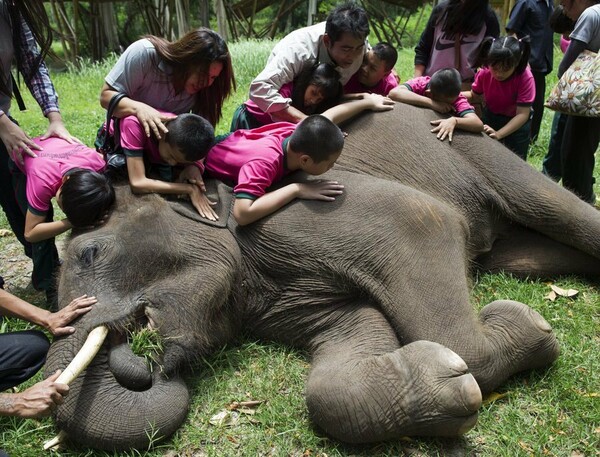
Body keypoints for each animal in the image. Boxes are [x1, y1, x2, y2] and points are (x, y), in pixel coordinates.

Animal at [43, 103, 600, 448]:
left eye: (89, 253)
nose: (141, 360)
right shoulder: (277, 297)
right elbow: (349, 341)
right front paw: (445, 384)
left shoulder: (306, 209)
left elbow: (423, 219)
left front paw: (525, 327)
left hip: (475, 146)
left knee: (554, 207)